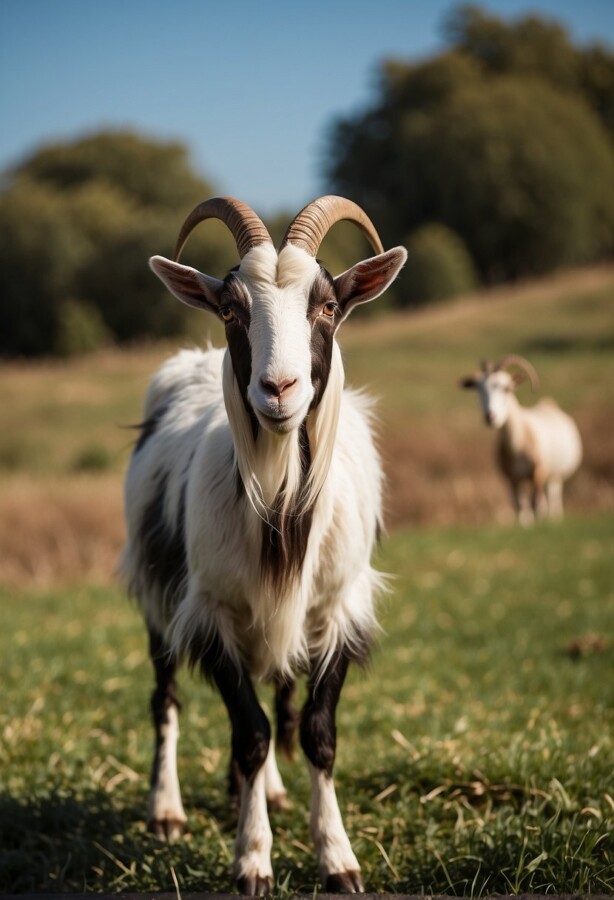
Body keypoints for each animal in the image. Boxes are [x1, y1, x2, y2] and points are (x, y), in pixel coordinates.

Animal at [120, 196, 407, 894]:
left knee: (276, 691)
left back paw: (266, 792)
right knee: (166, 699)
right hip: (157, 594)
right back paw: (167, 810)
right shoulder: (211, 609)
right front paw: (253, 860)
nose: (279, 390)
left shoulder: (337, 609)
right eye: (230, 309)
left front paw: (338, 858)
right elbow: (248, 731)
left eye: (327, 305)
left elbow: (317, 732)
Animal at [460, 355, 582, 524]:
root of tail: (548, 403)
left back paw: (554, 517)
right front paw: (526, 523)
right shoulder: (511, 478)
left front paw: (541, 522)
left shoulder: (538, 472)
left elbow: (537, 503)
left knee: (552, 495)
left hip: (554, 474)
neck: (517, 445)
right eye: (478, 389)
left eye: (506, 388)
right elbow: (519, 504)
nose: (490, 417)